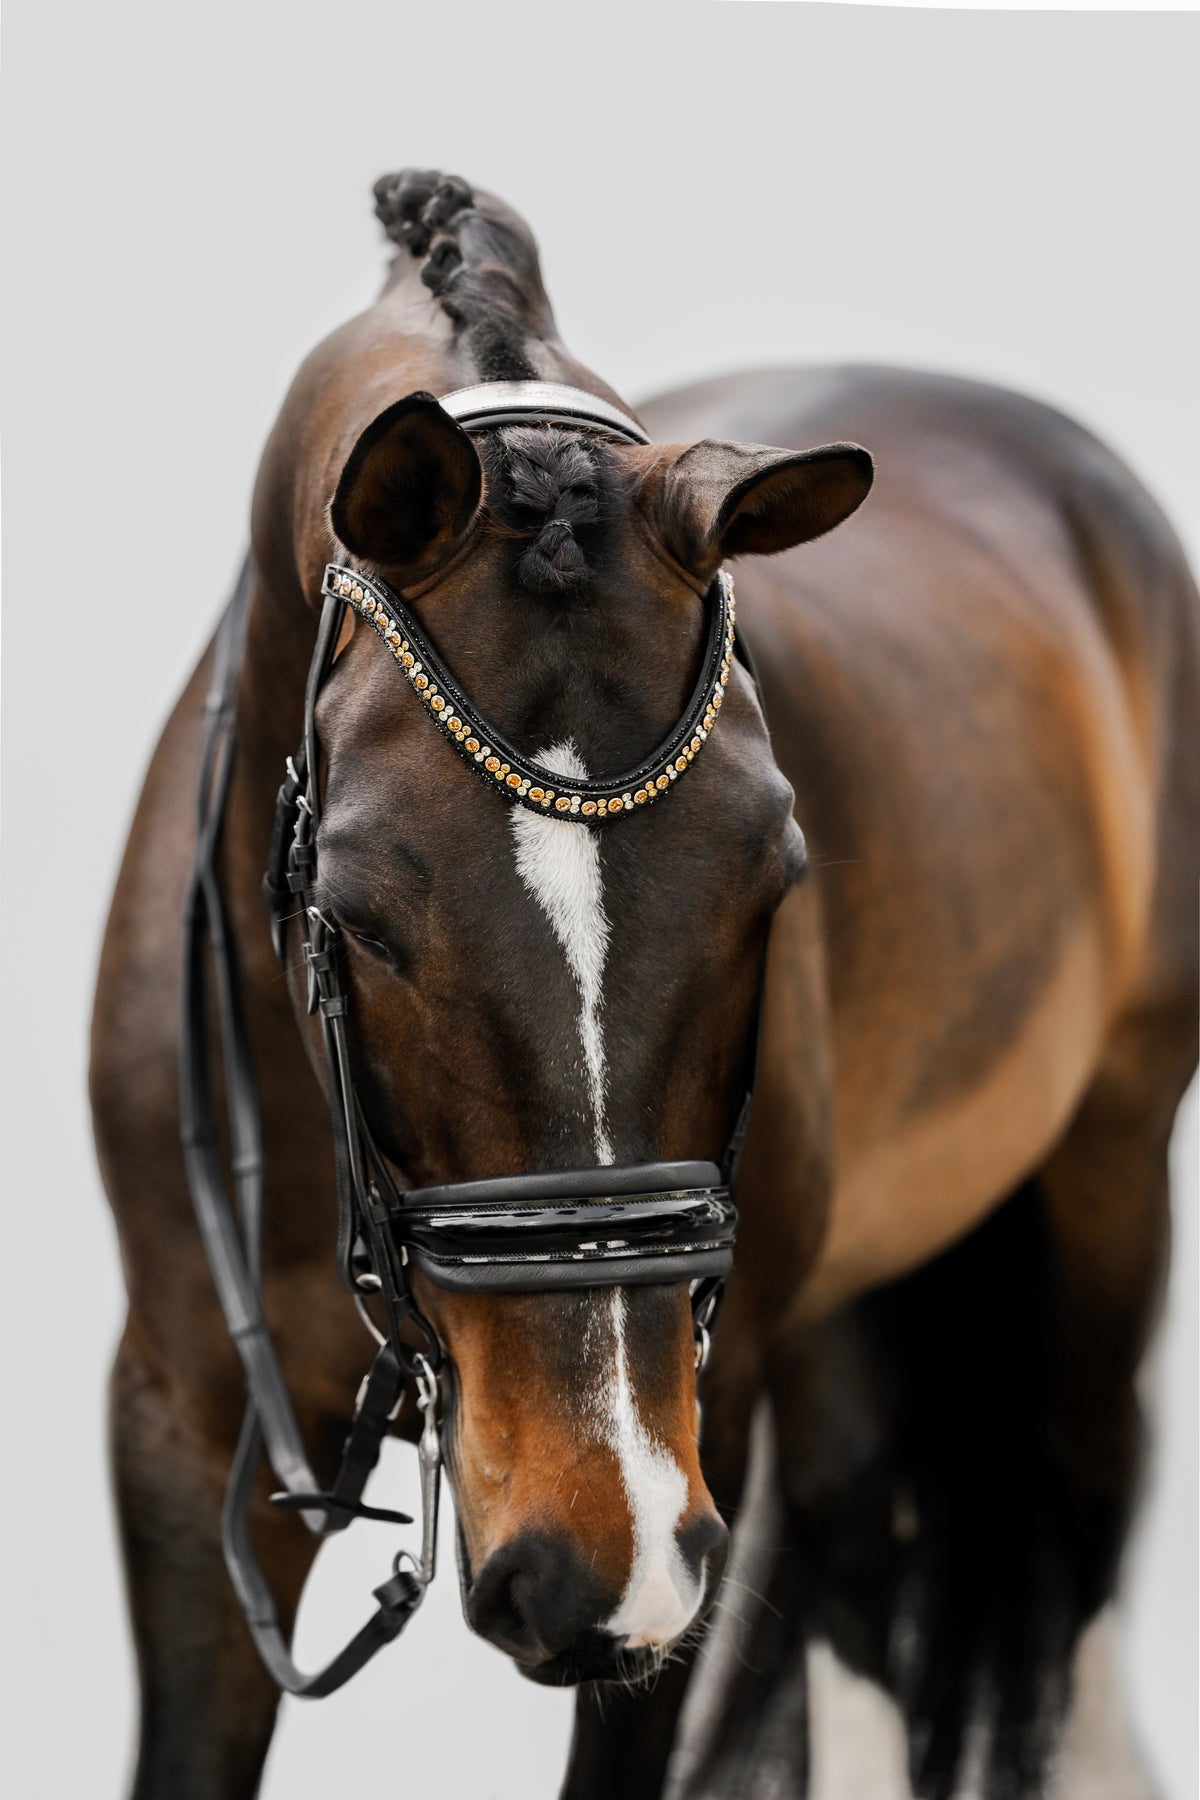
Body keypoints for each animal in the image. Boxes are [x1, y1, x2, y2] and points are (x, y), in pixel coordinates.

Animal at [91, 170, 1199, 1800]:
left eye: (777, 877)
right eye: (354, 915)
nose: (587, 1556)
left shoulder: (691, 1459)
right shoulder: (179, 1429)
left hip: (1105, 1167)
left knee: (1075, 1517)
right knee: (863, 1563)